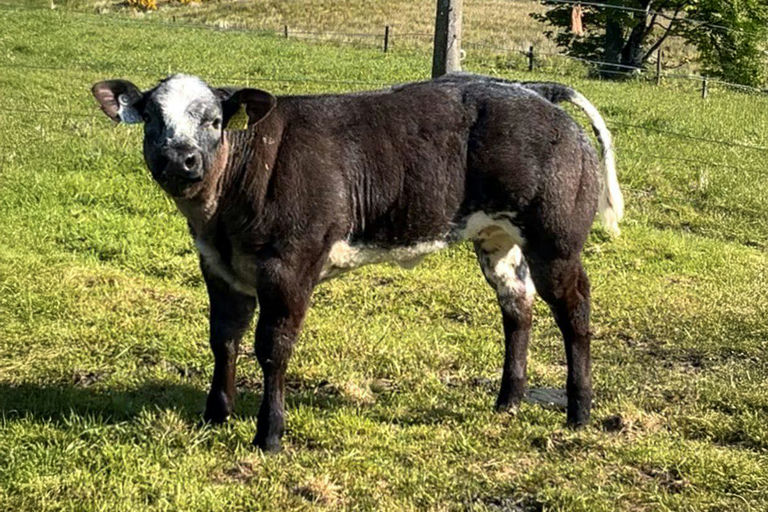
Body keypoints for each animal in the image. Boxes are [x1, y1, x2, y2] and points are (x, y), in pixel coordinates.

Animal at [91, 72, 623, 452]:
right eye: (153, 118)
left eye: (214, 121)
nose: (179, 159)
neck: (223, 209)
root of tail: (533, 91)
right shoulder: (219, 267)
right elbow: (224, 340)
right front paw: (215, 415)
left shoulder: (290, 265)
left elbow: (273, 349)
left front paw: (269, 435)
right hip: (498, 237)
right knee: (517, 308)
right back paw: (508, 400)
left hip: (556, 241)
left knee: (575, 312)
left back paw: (579, 412)